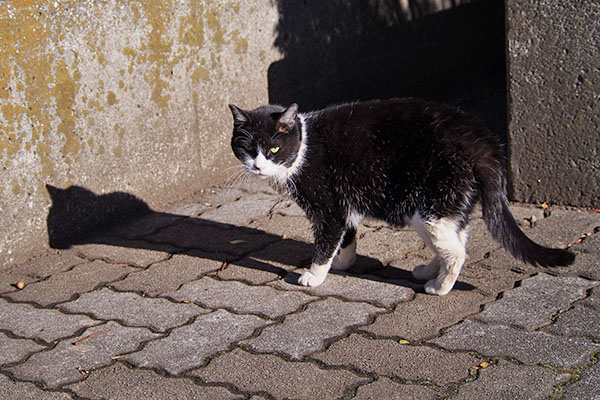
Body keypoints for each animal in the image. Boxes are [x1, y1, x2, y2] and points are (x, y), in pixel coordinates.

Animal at [227, 98, 576, 296]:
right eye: (247, 148)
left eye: (273, 148)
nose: (258, 166)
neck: (304, 148)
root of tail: (482, 140)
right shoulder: (344, 204)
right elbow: (347, 236)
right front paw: (344, 262)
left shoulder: (328, 207)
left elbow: (326, 242)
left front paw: (315, 275)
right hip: (441, 205)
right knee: (457, 238)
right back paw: (429, 271)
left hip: (431, 205)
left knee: (457, 251)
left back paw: (439, 287)